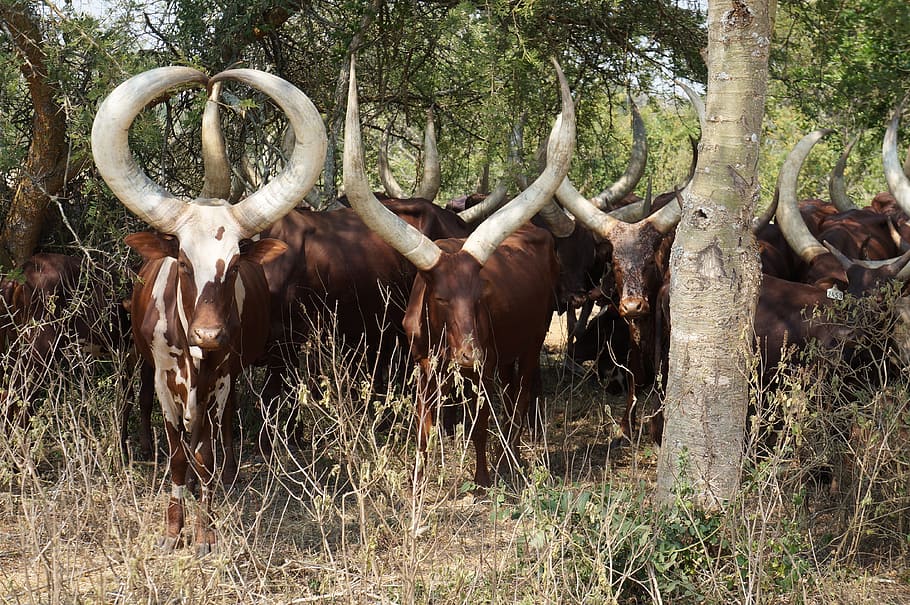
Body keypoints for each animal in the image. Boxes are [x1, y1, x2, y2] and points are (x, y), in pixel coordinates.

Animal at [91, 65, 328, 552]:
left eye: (235, 264)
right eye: (182, 262)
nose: (209, 335)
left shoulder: (218, 381)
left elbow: (203, 455)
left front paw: (204, 534)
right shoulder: (166, 380)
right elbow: (179, 456)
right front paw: (172, 532)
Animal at [342, 59, 576, 488]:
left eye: (481, 295)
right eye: (440, 298)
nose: (470, 354)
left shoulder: (483, 369)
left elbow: (480, 425)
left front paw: (482, 480)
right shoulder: (423, 367)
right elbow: (424, 426)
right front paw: (418, 480)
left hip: (530, 343)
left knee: (520, 397)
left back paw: (509, 457)